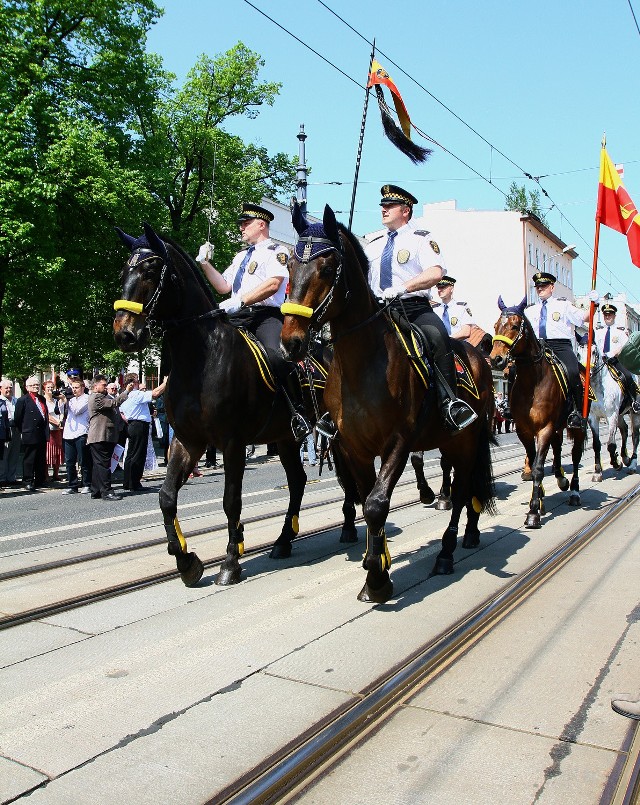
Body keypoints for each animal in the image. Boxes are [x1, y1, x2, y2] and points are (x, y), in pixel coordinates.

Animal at [112, 223, 358, 588]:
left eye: (151, 270)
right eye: (123, 271)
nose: (124, 334)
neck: (200, 359)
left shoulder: (232, 443)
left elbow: (231, 501)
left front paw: (230, 562)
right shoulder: (187, 440)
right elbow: (166, 497)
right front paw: (186, 561)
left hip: (335, 434)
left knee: (345, 477)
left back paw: (349, 527)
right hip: (285, 437)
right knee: (298, 481)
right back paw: (284, 540)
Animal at [278, 204, 496, 600]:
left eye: (327, 269)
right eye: (289, 267)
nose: (292, 342)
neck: (363, 363)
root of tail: (478, 356)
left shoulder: (399, 440)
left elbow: (377, 504)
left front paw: (377, 577)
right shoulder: (354, 447)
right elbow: (366, 501)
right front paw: (375, 567)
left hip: (465, 441)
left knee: (461, 492)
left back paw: (448, 552)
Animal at [490, 296, 584, 528]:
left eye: (515, 326)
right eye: (496, 326)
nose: (496, 359)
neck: (533, 382)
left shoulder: (544, 429)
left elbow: (539, 467)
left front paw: (533, 511)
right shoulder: (524, 431)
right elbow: (533, 465)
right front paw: (539, 500)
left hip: (577, 427)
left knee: (575, 455)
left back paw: (575, 492)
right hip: (557, 428)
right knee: (558, 448)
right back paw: (561, 478)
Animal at [580, 342, 640, 480]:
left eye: (593, 352)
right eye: (578, 353)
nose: (585, 373)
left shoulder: (611, 416)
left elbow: (611, 444)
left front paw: (616, 463)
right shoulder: (593, 417)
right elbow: (596, 444)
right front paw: (597, 472)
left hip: (634, 413)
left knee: (635, 436)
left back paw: (632, 464)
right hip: (620, 414)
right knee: (624, 429)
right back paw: (626, 458)